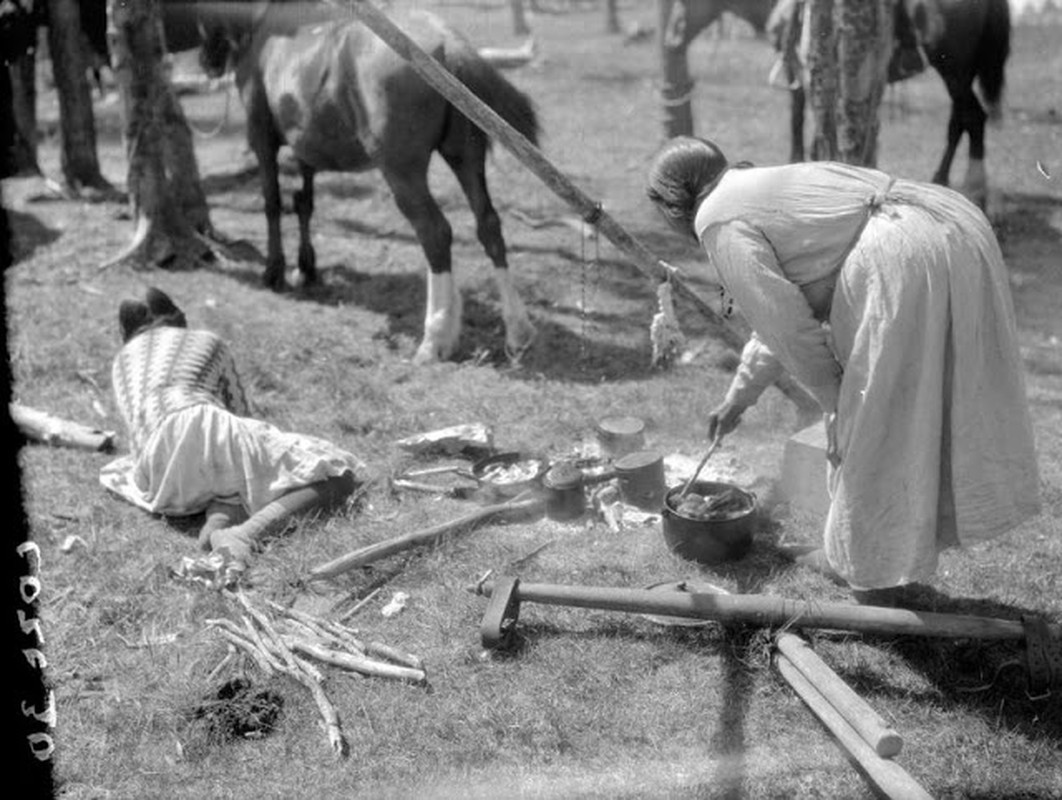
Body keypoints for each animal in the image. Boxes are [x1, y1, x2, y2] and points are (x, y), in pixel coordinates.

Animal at [197, 1, 539, 363]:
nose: (208, 62)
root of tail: (448, 45)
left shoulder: (262, 138)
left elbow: (272, 203)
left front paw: (274, 271)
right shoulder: (306, 148)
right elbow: (304, 203)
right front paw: (305, 267)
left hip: (402, 171)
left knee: (434, 232)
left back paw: (435, 336)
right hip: (466, 157)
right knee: (488, 224)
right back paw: (517, 330)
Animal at [777, 0, 1006, 209]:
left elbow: (805, 121)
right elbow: (804, 121)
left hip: (953, 69)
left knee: (973, 117)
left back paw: (975, 193)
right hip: (963, 73)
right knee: (960, 121)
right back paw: (943, 182)